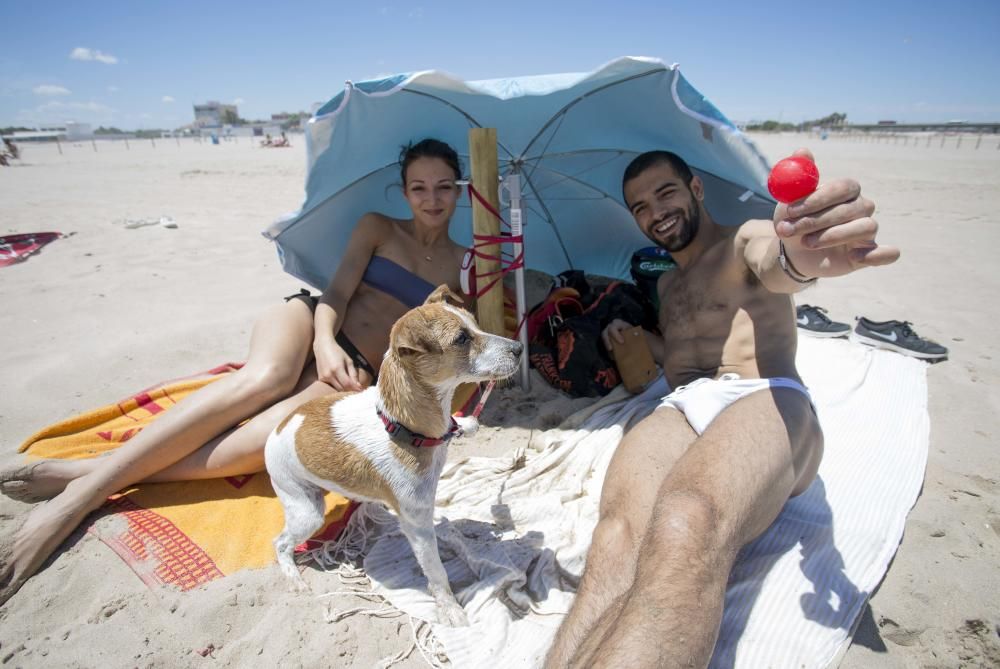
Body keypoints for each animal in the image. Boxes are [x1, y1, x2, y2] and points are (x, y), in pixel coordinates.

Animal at [264, 284, 524, 628]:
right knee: (280, 543)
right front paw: (452, 611)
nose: (519, 347)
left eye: (474, 322)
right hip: (307, 511)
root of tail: (277, 429)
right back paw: (294, 578)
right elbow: (436, 572)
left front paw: (465, 424)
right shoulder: (417, 524)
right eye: (461, 339)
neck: (403, 427)